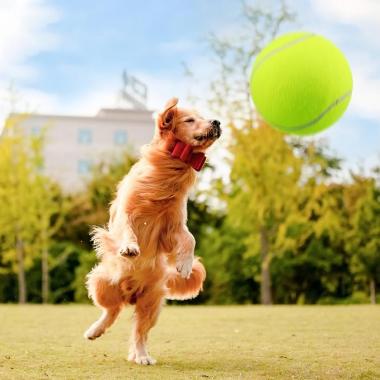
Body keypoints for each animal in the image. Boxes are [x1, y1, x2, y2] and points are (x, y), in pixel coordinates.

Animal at [83, 98, 220, 366]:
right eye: (190, 120)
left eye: (203, 117)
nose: (217, 122)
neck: (169, 169)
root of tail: (129, 294)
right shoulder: (126, 211)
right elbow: (127, 228)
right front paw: (130, 247)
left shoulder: (174, 225)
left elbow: (190, 238)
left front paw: (185, 264)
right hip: (100, 283)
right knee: (111, 311)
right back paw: (95, 330)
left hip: (151, 303)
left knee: (139, 332)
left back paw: (141, 355)